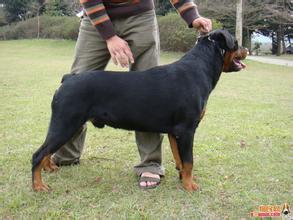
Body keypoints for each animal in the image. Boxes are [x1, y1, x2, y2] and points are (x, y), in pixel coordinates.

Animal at [31, 28, 246, 191]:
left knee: (46, 151)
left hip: (67, 124)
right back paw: (38, 186)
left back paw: (49, 168)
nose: (246, 50)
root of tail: (68, 79)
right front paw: (189, 185)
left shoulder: (175, 132)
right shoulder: (187, 130)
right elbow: (189, 161)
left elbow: (180, 159)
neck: (199, 68)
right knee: (38, 154)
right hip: (66, 123)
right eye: (236, 43)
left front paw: (182, 178)